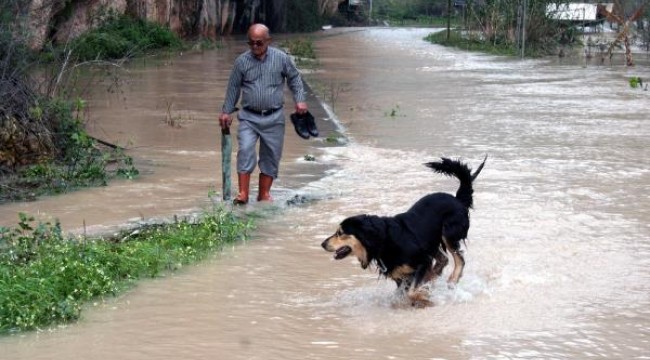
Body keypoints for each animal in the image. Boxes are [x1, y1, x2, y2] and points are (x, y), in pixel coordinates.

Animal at [322, 156, 484, 308]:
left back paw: (451, 280)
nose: (322, 244)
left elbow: (411, 292)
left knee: (459, 259)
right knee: (443, 259)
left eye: (340, 233)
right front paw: (420, 295)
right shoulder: (401, 274)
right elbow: (404, 293)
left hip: (448, 233)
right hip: (430, 242)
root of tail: (458, 199)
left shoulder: (422, 261)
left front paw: (424, 298)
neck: (382, 239)